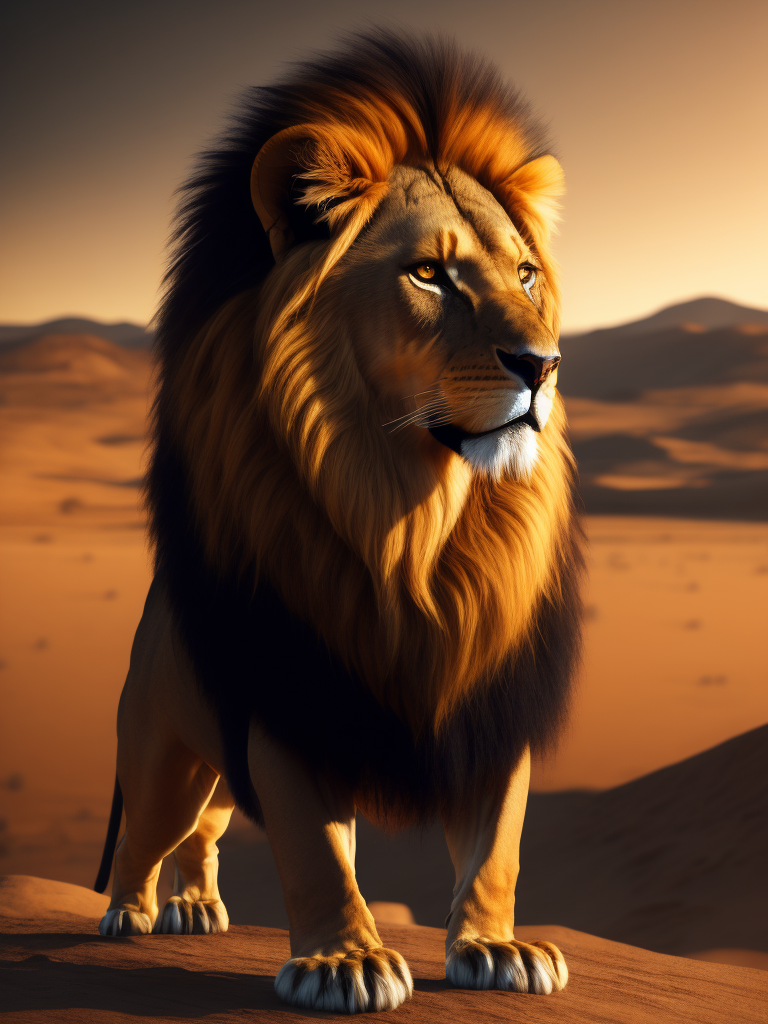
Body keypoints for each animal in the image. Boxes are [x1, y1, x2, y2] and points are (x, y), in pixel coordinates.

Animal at [94, 32, 583, 1013]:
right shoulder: (295, 694)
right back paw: (130, 911)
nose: (543, 365)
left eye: (524, 274)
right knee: (153, 833)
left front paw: (496, 947)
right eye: (429, 274)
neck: (414, 527)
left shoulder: (491, 701)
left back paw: (196, 909)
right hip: (167, 753)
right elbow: (313, 849)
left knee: (206, 837)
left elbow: (496, 845)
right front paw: (344, 962)